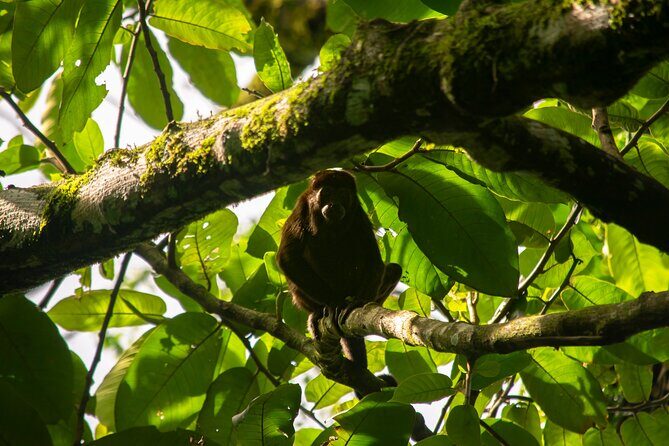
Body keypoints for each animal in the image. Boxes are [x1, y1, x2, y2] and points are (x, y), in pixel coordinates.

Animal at [276, 169, 402, 372]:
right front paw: (333, 302)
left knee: (394, 270)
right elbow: (288, 257)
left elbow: (374, 261)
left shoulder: (358, 214)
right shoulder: (302, 207)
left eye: (342, 194)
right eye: (327, 192)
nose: (334, 204)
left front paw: (357, 302)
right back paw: (317, 312)